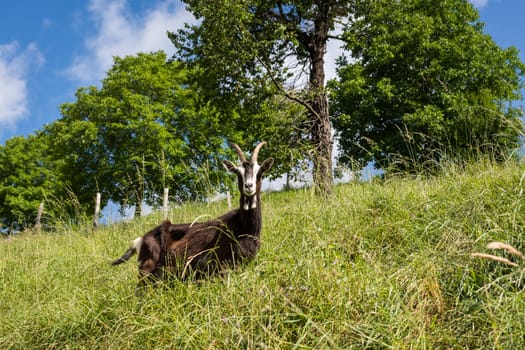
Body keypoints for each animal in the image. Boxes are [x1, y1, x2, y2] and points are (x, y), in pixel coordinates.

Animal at [111, 142, 274, 288]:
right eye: (238, 173)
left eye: (260, 172)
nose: (249, 187)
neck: (245, 227)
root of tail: (141, 239)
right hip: (148, 269)